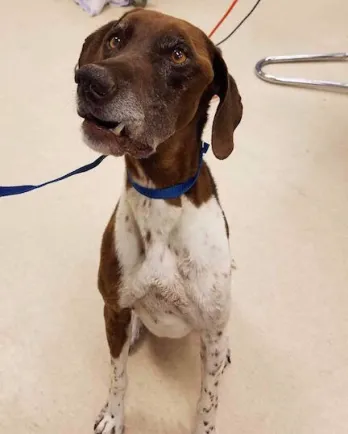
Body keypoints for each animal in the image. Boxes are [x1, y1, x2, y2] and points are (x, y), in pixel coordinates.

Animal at [74, 7, 242, 434]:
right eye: (116, 39)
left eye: (179, 54)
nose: (89, 80)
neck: (160, 197)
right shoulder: (114, 311)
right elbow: (119, 377)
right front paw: (113, 416)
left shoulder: (211, 332)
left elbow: (207, 401)